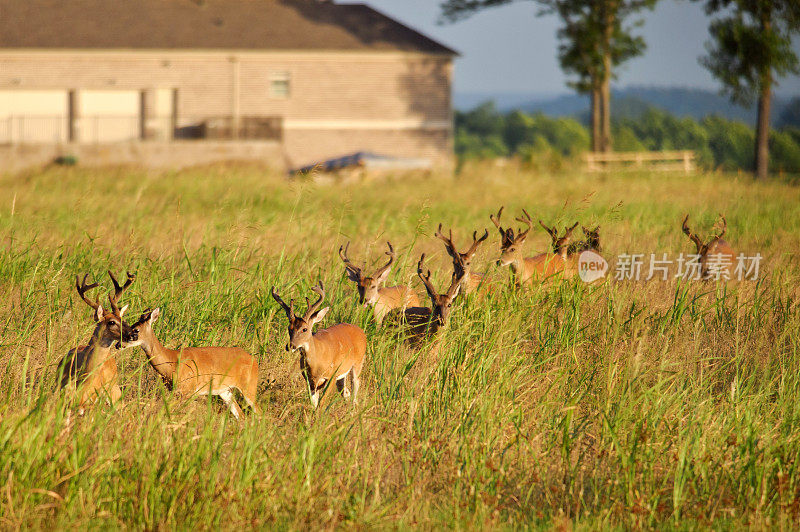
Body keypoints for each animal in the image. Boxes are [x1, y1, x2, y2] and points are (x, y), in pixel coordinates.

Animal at [118, 308, 260, 420]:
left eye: (135, 330)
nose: (118, 344)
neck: (171, 362)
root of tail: (254, 360)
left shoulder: (188, 390)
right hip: (226, 391)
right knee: (241, 415)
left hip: (249, 386)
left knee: (259, 412)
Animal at [270, 280, 368, 410]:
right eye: (289, 328)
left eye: (305, 329)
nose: (290, 346)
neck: (316, 364)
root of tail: (361, 331)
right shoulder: (310, 380)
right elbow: (314, 404)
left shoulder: (332, 374)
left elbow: (321, 403)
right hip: (343, 373)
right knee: (346, 392)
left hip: (358, 362)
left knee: (355, 387)